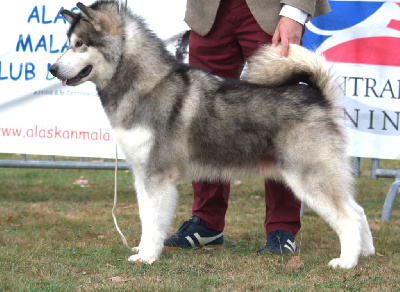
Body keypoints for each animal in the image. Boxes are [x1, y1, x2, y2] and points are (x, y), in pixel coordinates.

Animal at [50, 0, 376, 270]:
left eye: (79, 45)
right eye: (67, 44)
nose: (52, 68)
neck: (146, 84)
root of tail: (319, 97)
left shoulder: (157, 176)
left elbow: (153, 222)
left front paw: (148, 257)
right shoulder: (141, 173)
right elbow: (145, 218)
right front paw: (142, 249)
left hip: (307, 176)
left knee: (347, 217)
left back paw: (346, 262)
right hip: (323, 173)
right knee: (358, 209)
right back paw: (366, 252)